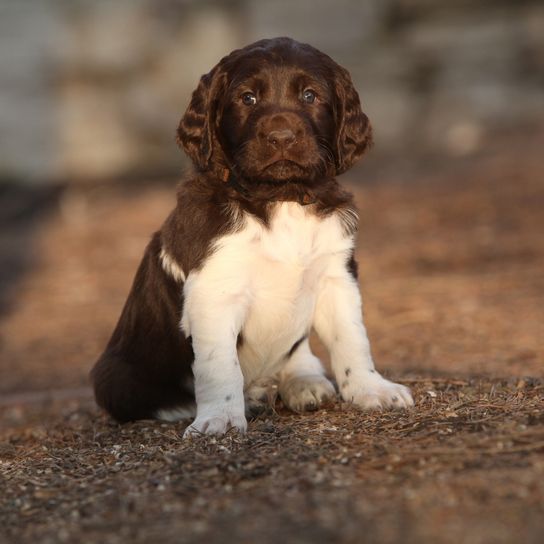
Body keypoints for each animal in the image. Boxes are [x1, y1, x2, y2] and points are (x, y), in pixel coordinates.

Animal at [90, 37, 412, 438]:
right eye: (248, 98)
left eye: (310, 95)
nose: (281, 138)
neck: (281, 199)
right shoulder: (214, 290)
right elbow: (218, 365)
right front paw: (221, 419)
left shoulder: (337, 275)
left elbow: (352, 338)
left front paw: (372, 389)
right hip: (116, 377)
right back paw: (249, 399)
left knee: (298, 353)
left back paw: (302, 382)